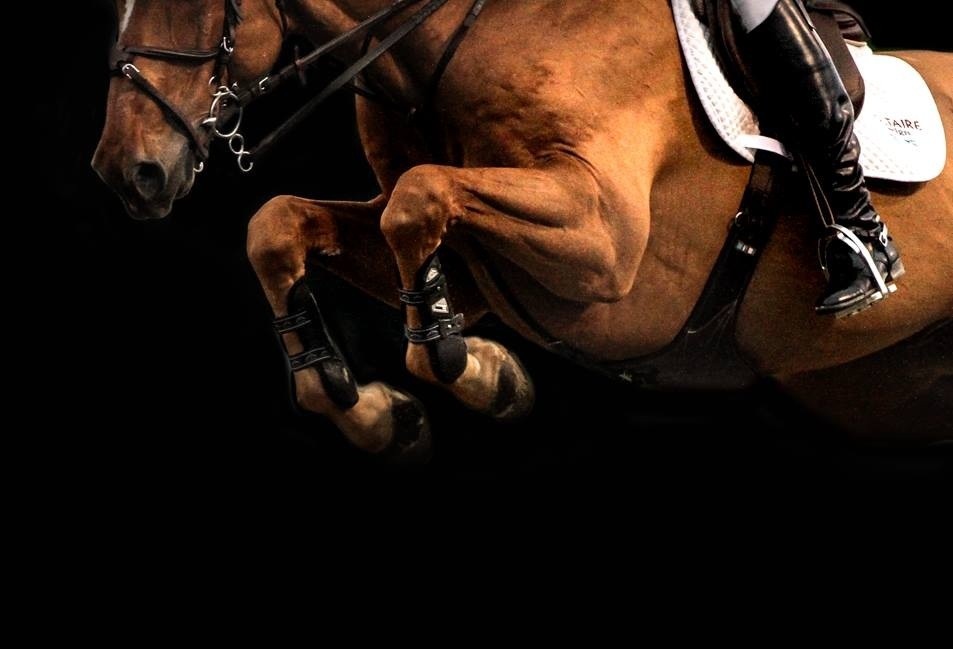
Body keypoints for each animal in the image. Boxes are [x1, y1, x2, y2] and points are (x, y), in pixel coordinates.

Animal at [92, 0, 953, 460]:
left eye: (198, 0)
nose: (127, 171)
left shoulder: (607, 249)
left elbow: (416, 199)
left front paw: (469, 366)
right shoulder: (478, 261)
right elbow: (278, 224)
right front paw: (369, 408)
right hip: (883, 387)